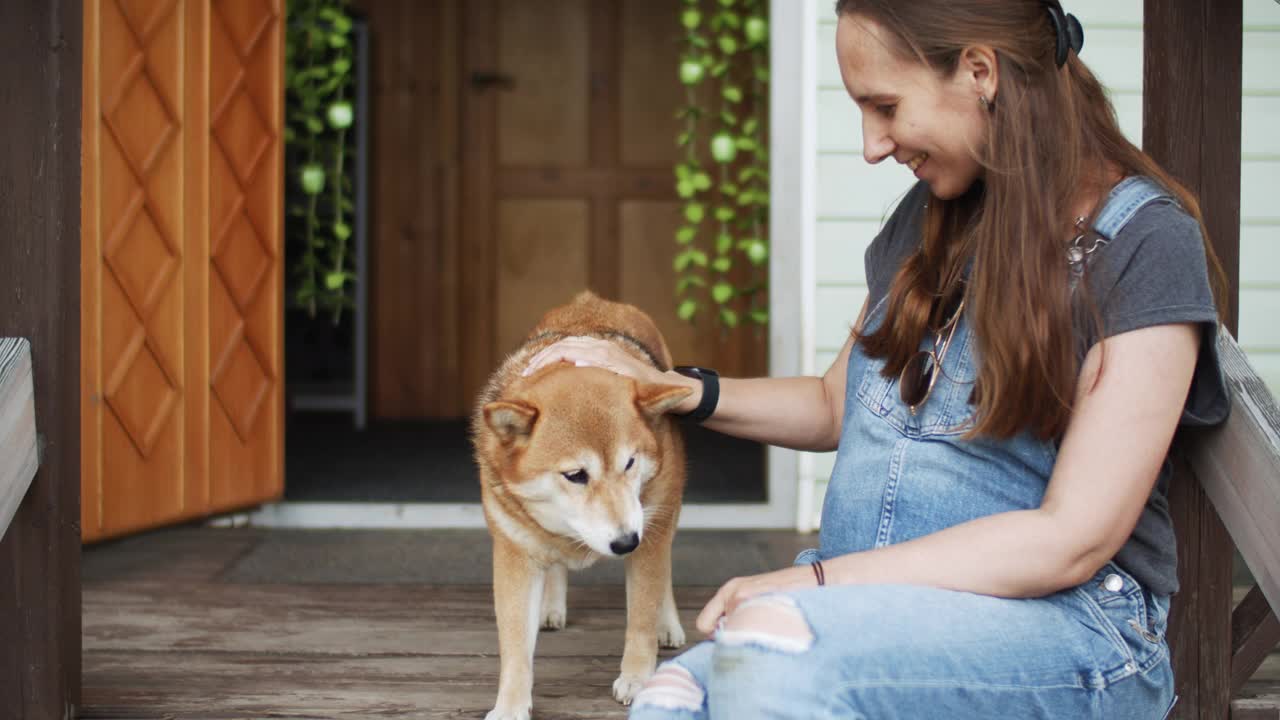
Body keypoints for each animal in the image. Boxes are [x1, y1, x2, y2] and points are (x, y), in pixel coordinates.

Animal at [471, 289, 691, 717]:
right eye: (575, 475)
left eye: (630, 463)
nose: (626, 542)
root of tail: (594, 300)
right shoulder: (515, 554)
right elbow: (515, 649)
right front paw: (510, 706)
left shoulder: (650, 532)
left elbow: (641, 619)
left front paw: (638, 679)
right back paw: (551, 605)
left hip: (666, 515)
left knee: (667, 571)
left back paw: (667, 623)